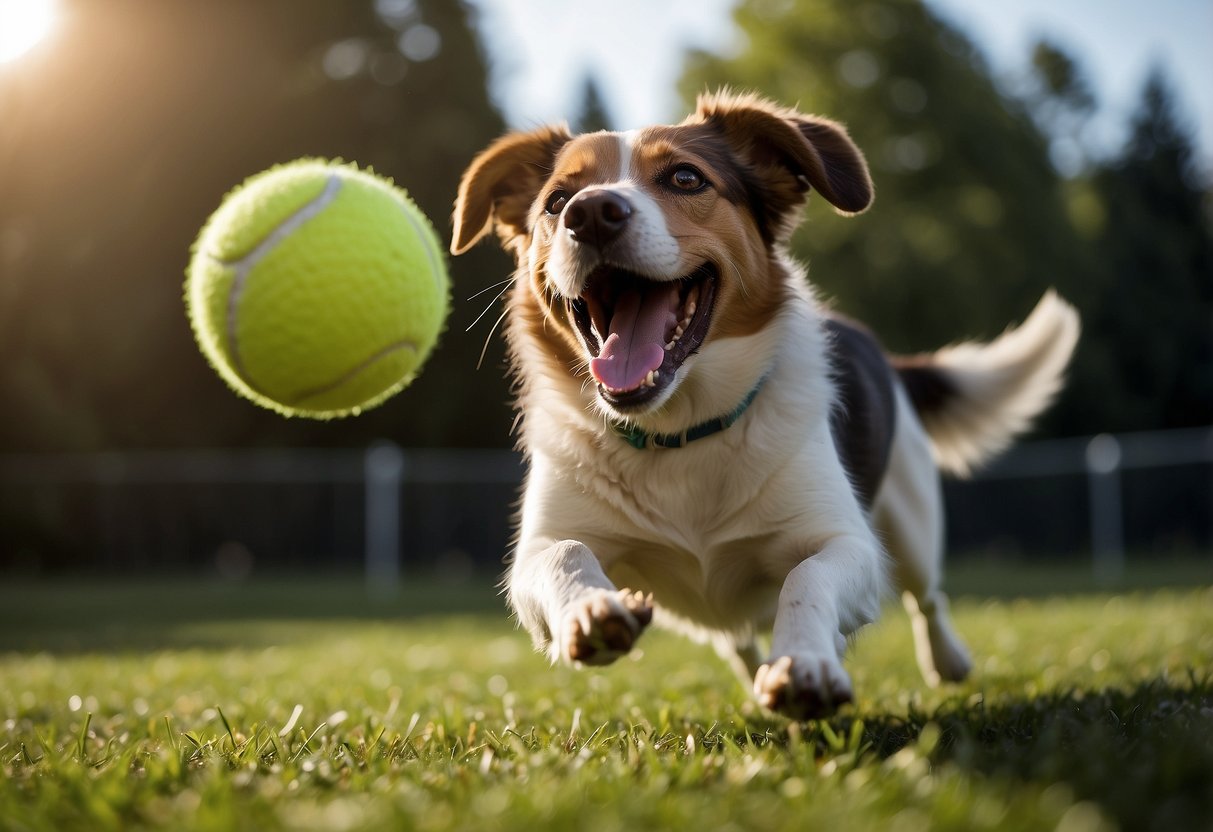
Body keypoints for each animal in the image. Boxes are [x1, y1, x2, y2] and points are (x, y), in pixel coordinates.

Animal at [451, 89, 1077, 717]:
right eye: (557, 201)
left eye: (685, 177)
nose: (590, 213)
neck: (680, 431)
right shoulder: (536, 552)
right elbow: (565, 554)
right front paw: (593, 610)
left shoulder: (847, 542)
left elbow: (807, 580)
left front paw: (805, 664)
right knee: (736, 636)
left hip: (912, 516)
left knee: (927, 599)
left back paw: (946, 661)